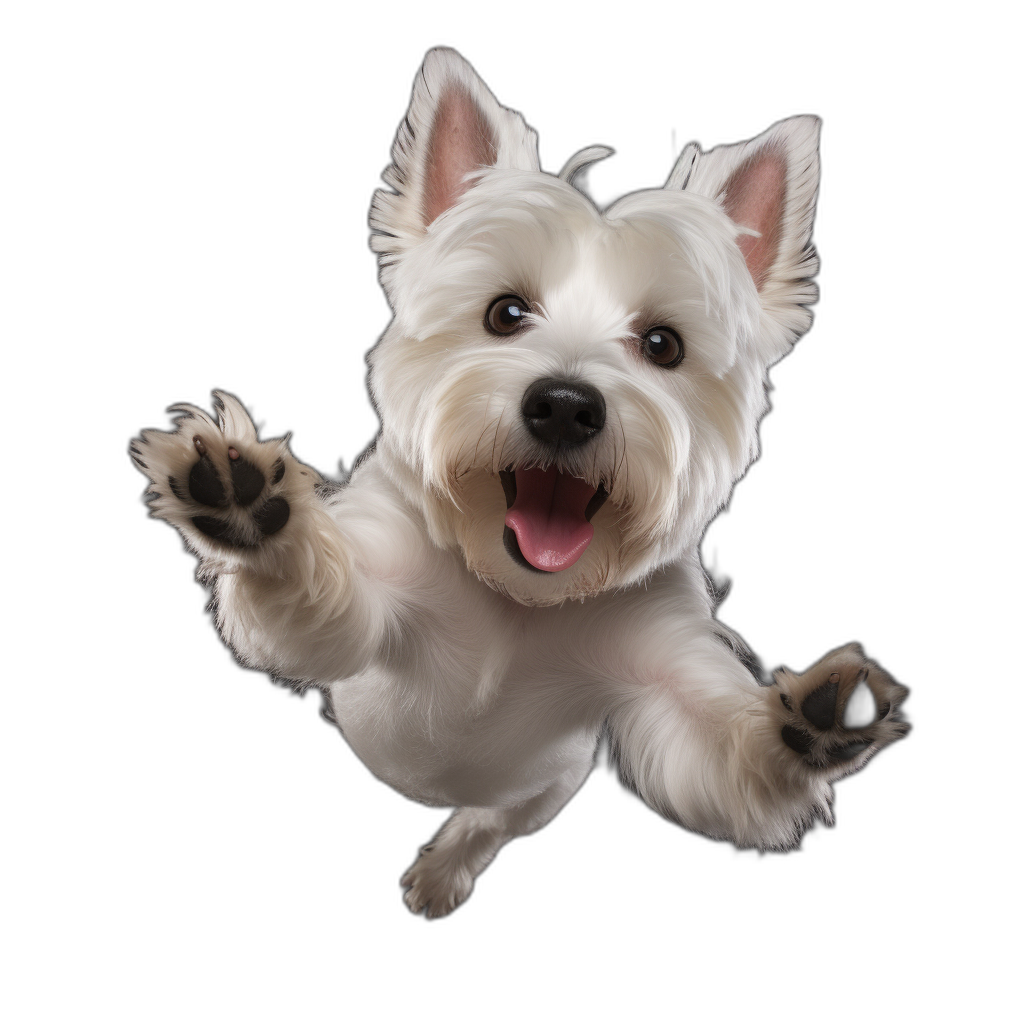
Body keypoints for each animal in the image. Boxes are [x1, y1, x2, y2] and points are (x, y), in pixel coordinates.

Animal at [132, 48, 909, 921]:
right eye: (505, 313)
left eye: (663, 344)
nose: (565, 406)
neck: (518, 597)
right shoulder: (366, 608)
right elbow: (321, 596)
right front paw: (255, 510)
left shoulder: (661, 679)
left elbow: (719, 753)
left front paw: (809, 727)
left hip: (540, 794)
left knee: (488, 823)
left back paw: (445, 868)